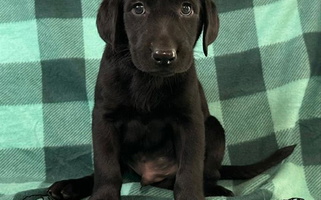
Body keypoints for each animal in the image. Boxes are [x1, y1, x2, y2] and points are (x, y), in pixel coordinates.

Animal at [47, 0, 296, 199]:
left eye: (186, 9)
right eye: (138, 8)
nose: (164, 56)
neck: (147, 80)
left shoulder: (189, 121)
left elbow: (189, 171)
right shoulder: (104, 119)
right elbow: (106, 168)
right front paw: (102, 196)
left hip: (213, 128)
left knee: (208, 174)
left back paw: (215, 189)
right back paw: (70, 186)